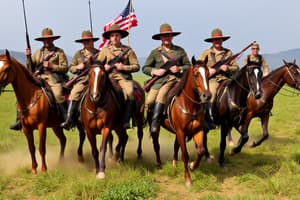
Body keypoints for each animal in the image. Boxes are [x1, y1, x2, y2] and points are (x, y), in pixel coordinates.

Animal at [148, 57, 211, 187]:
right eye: (196, 74)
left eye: (208, 74)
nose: (206, 96)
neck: (190, 106)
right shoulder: (181, 132)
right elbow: (185, 155)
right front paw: (187, 179)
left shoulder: (198, 130)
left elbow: (201, 150)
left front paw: (193, 166)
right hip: (156, 128)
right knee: (156, 145)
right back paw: (159, 164)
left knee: (175, 145)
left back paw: (174, 163)